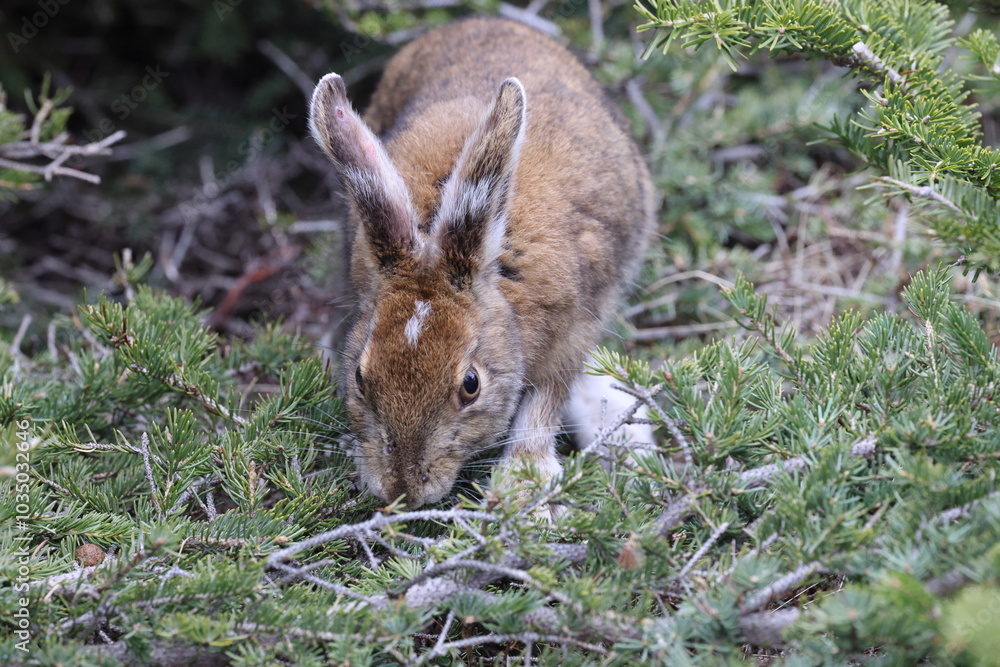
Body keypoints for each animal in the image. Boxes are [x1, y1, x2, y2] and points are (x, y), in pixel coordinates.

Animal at [309, 16, 655, 510]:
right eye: (359, 376)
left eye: (470, 385)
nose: (403, 489)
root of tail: (481, 21)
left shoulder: (574, 327)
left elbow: (544, 401)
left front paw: (524, 485)